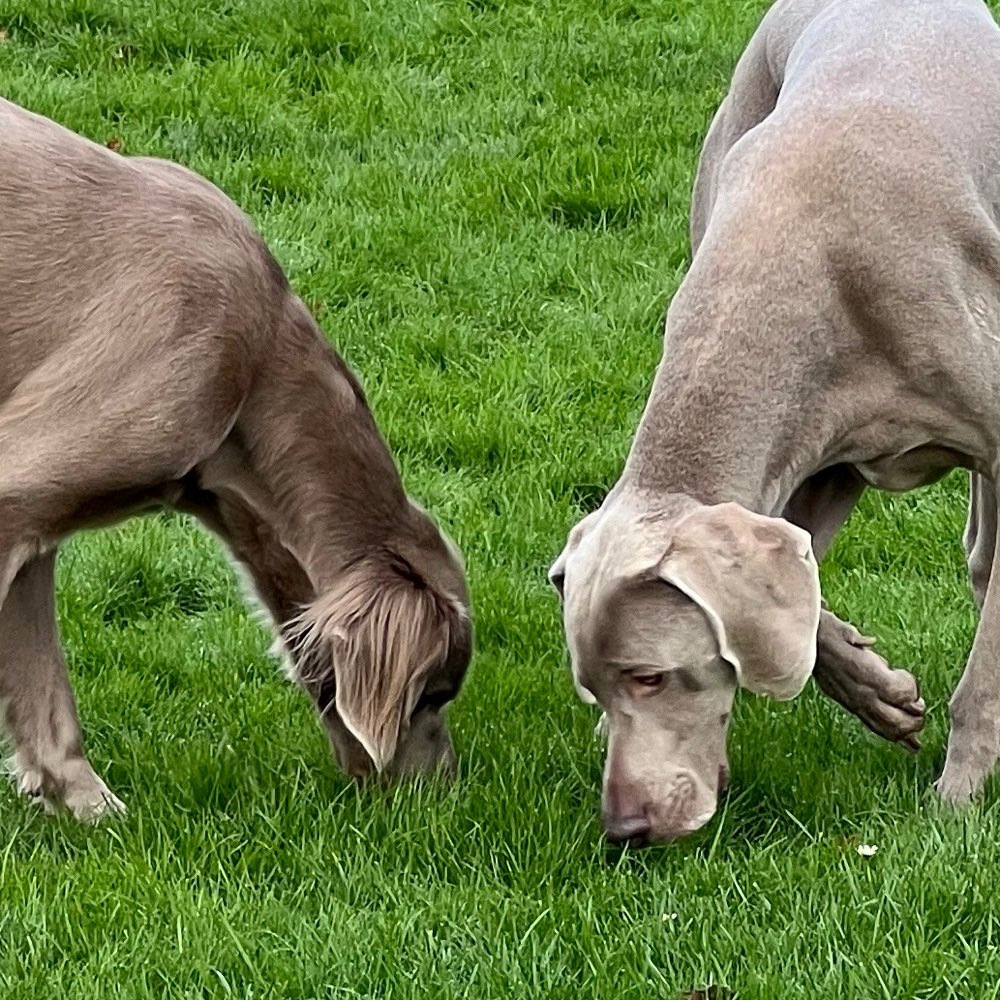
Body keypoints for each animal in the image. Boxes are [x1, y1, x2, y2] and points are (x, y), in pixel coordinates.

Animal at [552, 0, 996, 844]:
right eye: (593, 687)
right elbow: (799, 599)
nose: (623, 830)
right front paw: (878, 691)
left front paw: (956, 799)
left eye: (651, 676)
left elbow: (984, 675)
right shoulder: (806, 453)